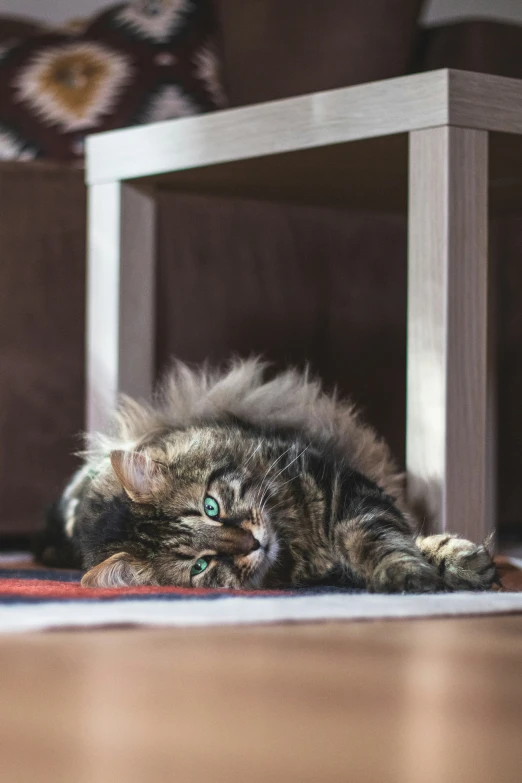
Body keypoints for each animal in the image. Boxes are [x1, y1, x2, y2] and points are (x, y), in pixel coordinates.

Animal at [36, 358, 496, 592]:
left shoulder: (344, 487)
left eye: (211, 507)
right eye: (201, 565)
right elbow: (379, 542)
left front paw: (453, 560)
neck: (295, 536)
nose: (252, 543)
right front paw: (412, 574)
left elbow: (379, 535)